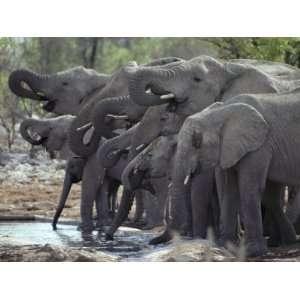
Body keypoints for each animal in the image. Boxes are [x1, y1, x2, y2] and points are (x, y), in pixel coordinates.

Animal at [173, 89, 300, 255]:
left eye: (197, 141)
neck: (223, 111)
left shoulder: (259, 146)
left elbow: (249, 188)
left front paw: (253, 252)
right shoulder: (232, 148)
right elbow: (230, 191)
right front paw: (226, 246)